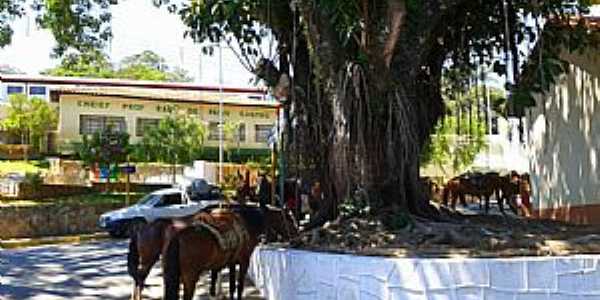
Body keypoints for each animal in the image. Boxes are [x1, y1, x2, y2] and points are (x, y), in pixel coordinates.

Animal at [127, 202, 296, 300]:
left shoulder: (230, 262)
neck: (246, 224)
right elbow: (239, 286)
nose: (295, 236)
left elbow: (228, 285)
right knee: (140, 280)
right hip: (178, 271)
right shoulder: (243, 261)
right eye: (288, 219)